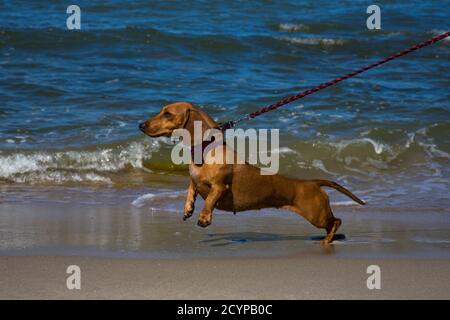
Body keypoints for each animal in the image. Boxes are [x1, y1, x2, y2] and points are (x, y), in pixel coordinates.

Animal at [141, 101, 366, 244]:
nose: (140, 124)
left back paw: (327, 240)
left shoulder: (220, 186)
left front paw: (204, 217)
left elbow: (210, 200)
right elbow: (191, 189)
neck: (205, 149)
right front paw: (188, 208)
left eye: (168, 114)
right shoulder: (195, 182)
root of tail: (311, 182)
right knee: (334, 223)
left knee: (336, 221)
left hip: (316, 215)